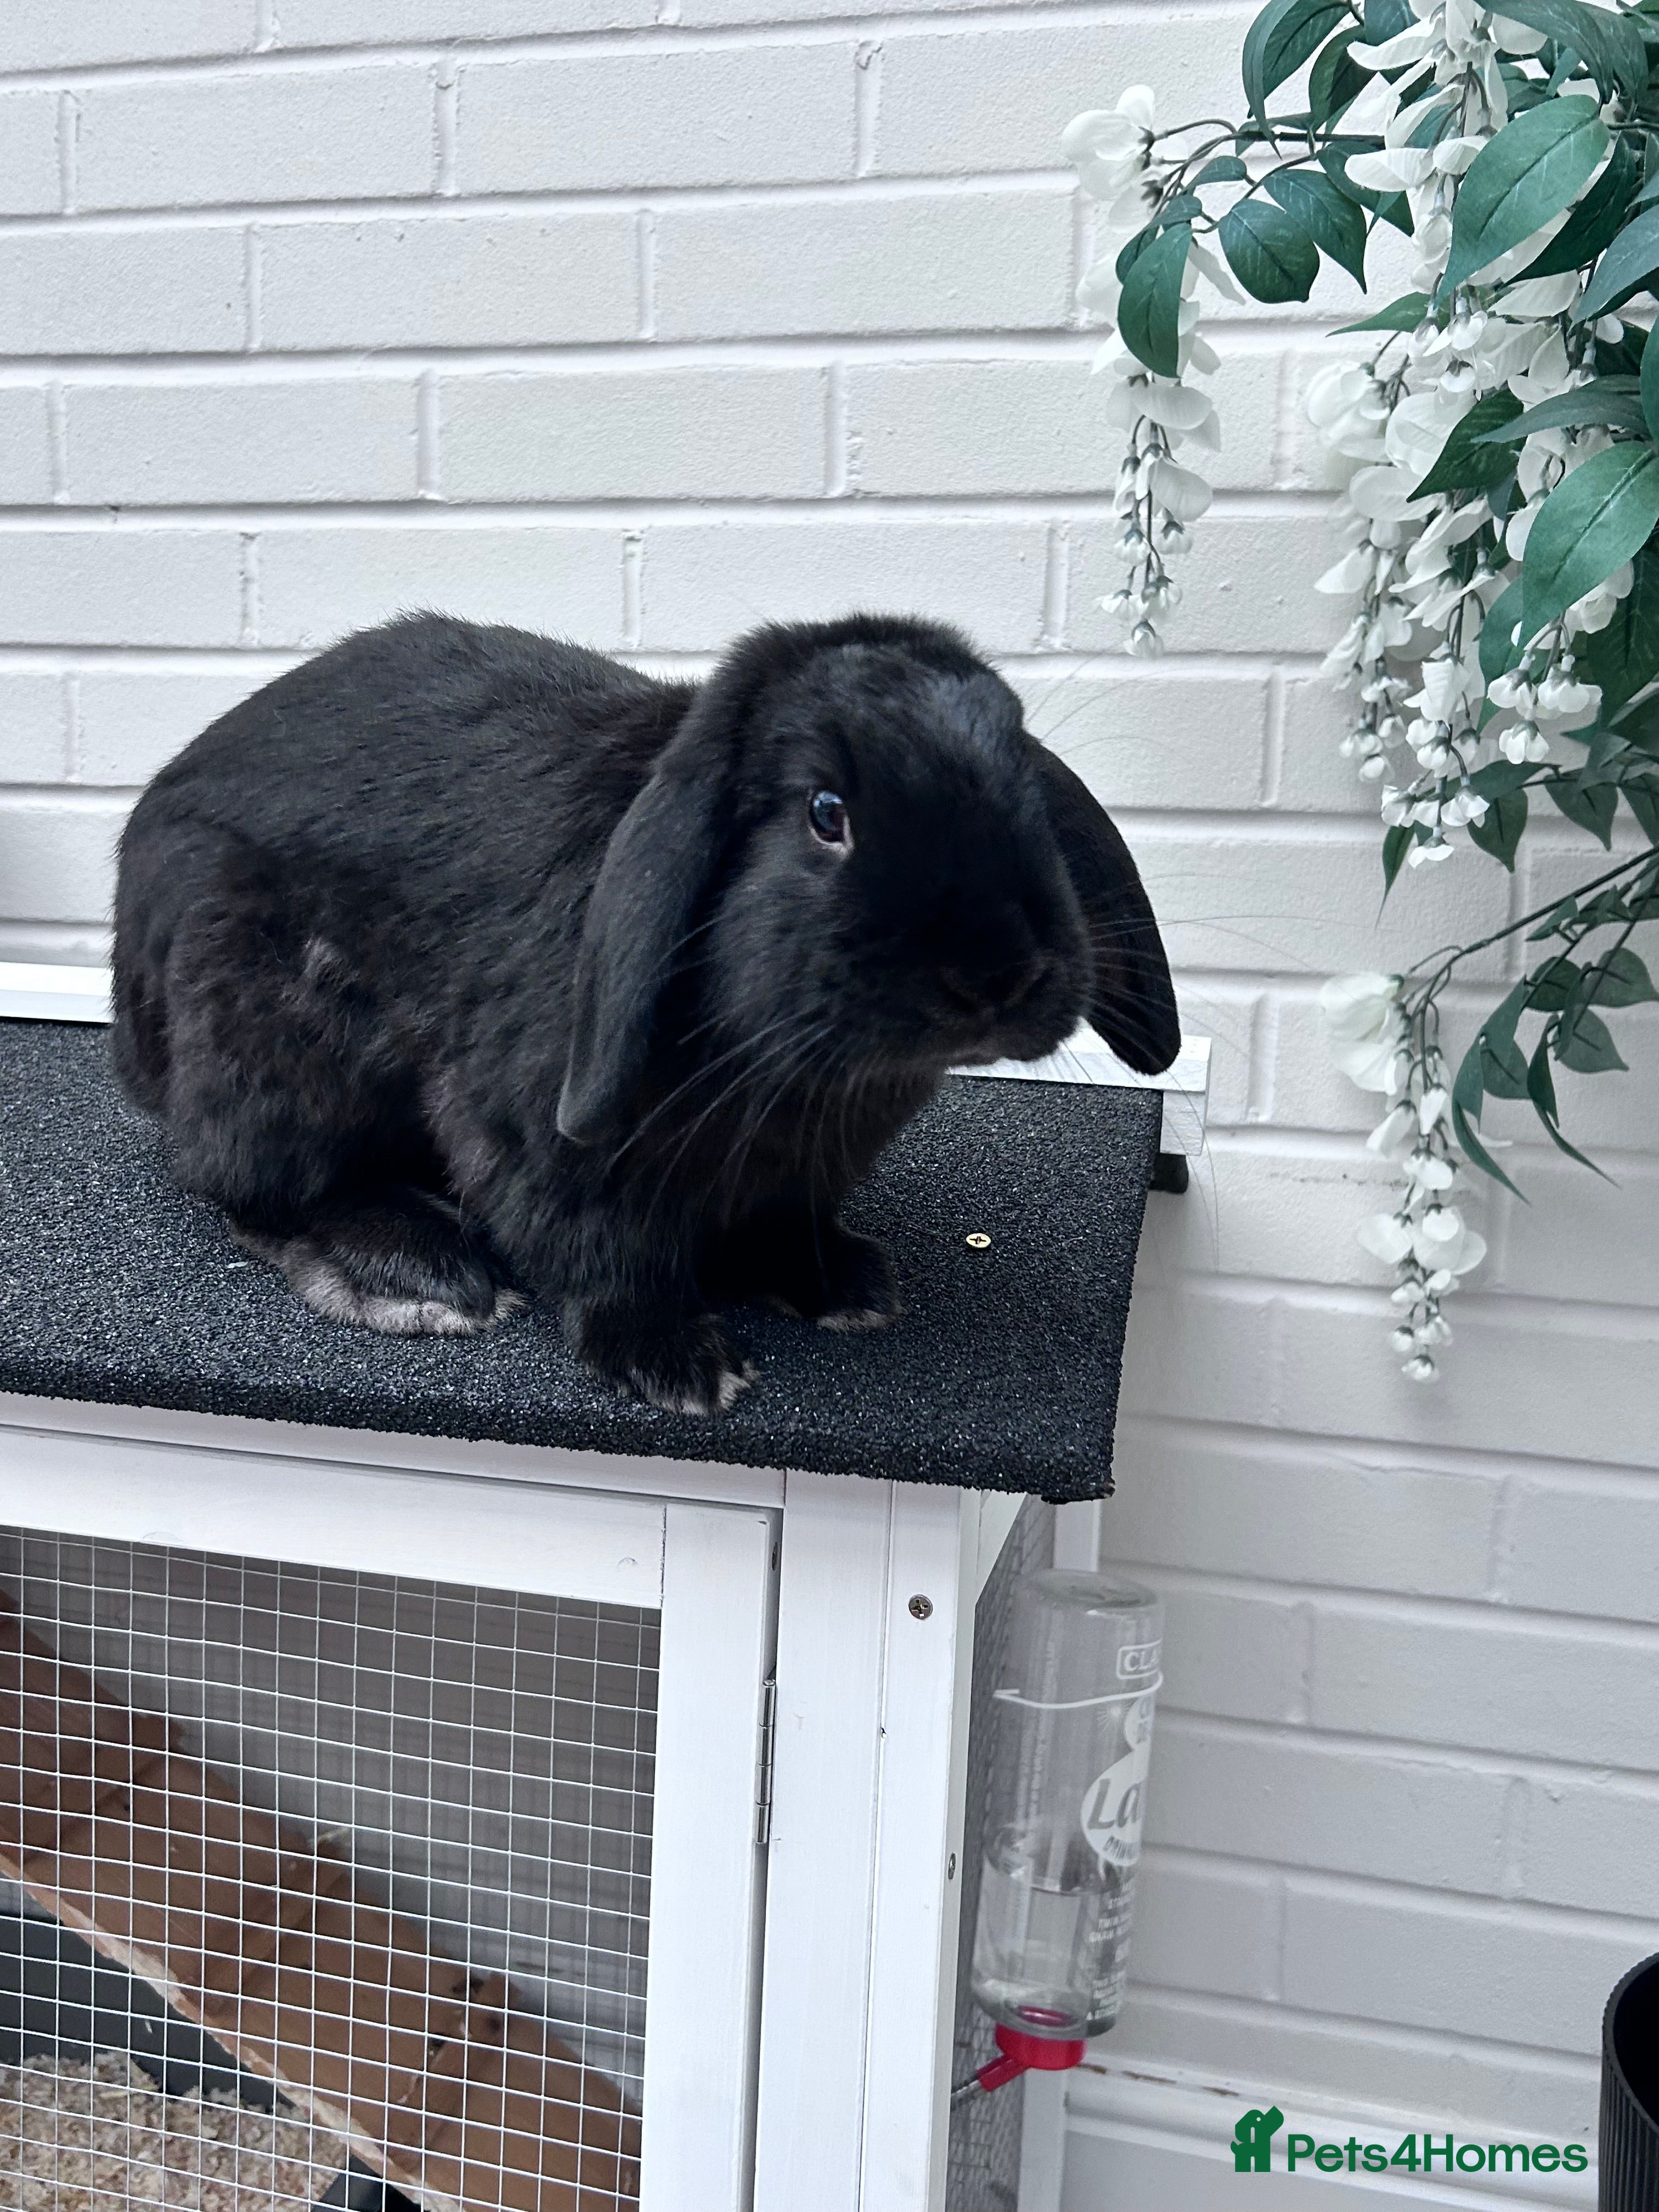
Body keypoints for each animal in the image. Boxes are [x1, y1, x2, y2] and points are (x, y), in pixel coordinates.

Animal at [112, 609, 1179, 1414]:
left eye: (1025, 792)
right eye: (825, 813)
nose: (996, 976)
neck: (790, 1068)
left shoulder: (800, 1171)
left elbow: (788, 1224)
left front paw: (841, 1286)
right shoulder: (546, 1146)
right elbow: (599, 1256)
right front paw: (677, 1363)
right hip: (264, 1033)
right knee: (250, 1184)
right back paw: (413, 1269)